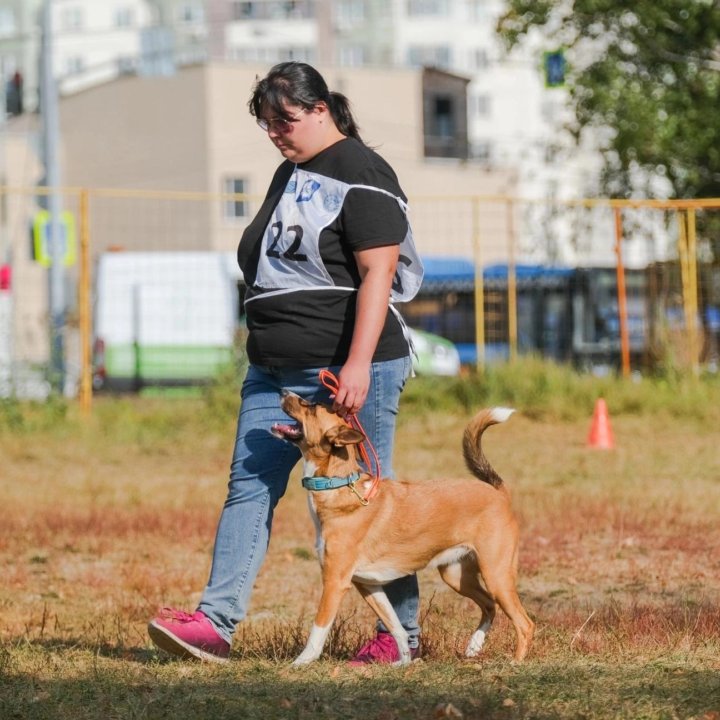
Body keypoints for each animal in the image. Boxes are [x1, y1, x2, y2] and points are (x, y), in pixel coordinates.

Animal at [272, 390, 536, 668]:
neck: (338, 485)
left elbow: (318, 629)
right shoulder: (369, 586)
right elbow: (396, 627)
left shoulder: (335, 582)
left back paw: (516, 662)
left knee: (525, 623)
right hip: (455, 575)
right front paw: (404, 661)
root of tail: (498, 492)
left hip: (496, 575)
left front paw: (301, 662)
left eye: (311, 407)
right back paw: (474, 646)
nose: (283, 392)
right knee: (489, 606)